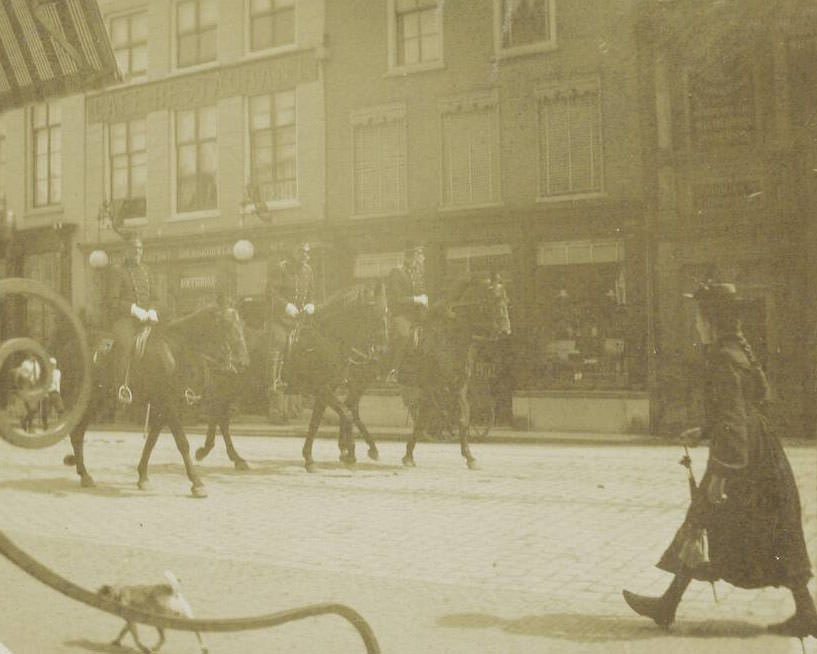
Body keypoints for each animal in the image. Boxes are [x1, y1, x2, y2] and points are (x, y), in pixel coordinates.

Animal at [64, 306, 249, 498]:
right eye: (226, 325)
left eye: (241, 324)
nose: (243, 361)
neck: (176, 353)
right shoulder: (169, 405)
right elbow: (183, 443)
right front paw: (197, 483)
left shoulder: (164, 407)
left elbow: (152, 441)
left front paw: (143, 476)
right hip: (87, 403)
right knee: (76, 434)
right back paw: (84, 474)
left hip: (98, 403)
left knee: (78, 433)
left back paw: (83, 473)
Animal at [274, 282, 388, 472]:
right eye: (372, 311)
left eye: (386, 312)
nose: (381, 351)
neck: (327, 339)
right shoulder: (324, 388)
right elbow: (346, 414)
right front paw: (349, 453)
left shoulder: (327, 389)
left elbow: (316, 421)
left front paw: (309, 458)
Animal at [396, 276, 510, 472]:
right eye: (492, 299)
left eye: (506, 300)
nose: (505, 329)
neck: (451, 335)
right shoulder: (433, 386)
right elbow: (426, 417)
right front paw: (409, 455)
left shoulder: (458, 385)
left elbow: (462, 417)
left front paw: (470, 456)